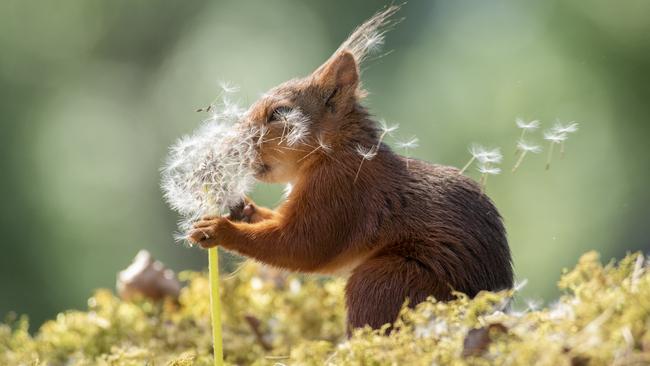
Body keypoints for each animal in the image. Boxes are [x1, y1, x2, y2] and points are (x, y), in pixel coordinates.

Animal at [187, 5, 512, 332]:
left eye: (279, 113)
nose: (230, 145)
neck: (334, 152)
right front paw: (243, 209)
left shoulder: (341, 191)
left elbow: (302, 245)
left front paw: (219, 229)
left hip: (385, 280)